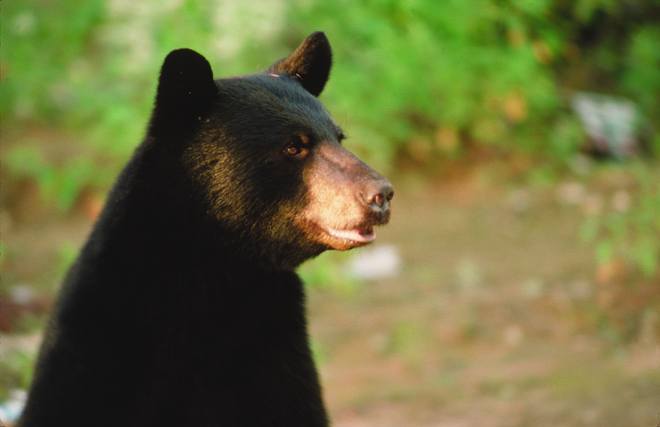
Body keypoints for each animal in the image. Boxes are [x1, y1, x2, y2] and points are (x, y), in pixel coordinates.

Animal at [18, 31, 394, 426]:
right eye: (294, 147)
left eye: (339, 137)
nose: (381, 194)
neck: (214, 277)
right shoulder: (94, 353)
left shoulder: (274, 354)